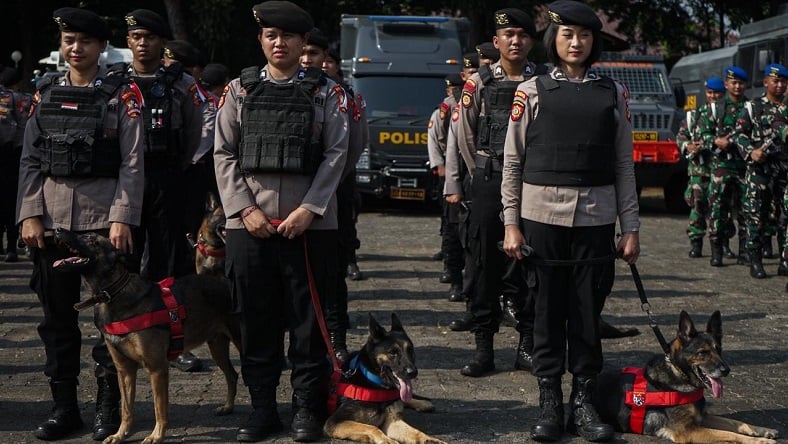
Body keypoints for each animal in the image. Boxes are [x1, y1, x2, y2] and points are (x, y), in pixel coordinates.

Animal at [53, 229, 242, 444]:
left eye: (92, 239)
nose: (57, 229)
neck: (113, 293)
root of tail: (227, 281)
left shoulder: (157, 368)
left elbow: (159, 409)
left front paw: (156, 436)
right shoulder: (124, 370)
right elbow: (127, 409)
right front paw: (119, 434)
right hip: (217, 346)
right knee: (232, 375)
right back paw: (227, 407)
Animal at [324, 312, 446, 444]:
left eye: (410, 350)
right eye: (393, 352)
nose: (412, 372)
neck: (374, 382)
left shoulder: (392, 422)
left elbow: (417, 432)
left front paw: (431, 440)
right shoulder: (334, 422)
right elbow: (372, 427)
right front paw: (387, 441)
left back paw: (423, 403)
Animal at [596, 310, 780, 442]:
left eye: (719, 349)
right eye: (703, 353)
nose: (726, 370)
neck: (679, 374)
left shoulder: (702, 418)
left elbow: (736, 423)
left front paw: (763, 430)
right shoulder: (688, 431)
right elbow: (728, 434)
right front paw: (760, 441)